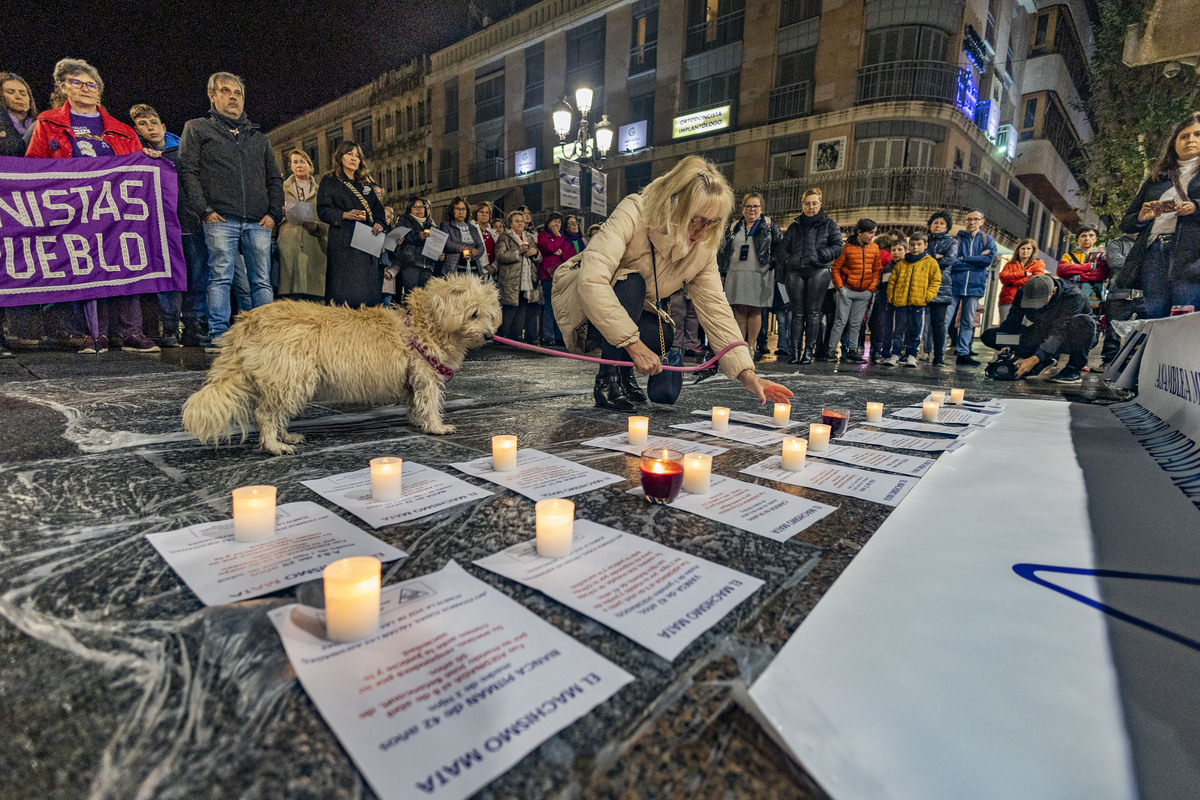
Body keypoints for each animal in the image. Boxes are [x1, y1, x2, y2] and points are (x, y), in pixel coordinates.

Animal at [180, 273, 499, 453]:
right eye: (473, 313)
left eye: (489, 314)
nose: (489, 335)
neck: (427, 322)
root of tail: (248, 321)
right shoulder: (426, 376)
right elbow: (430, 403)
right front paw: (435, 426)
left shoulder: (413, 380)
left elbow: (415, 403)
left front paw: (418, 421)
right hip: (292, 378)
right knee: (265, 415)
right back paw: (273, 446)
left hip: (286, 380)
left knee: (275, 413)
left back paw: (286, 436)